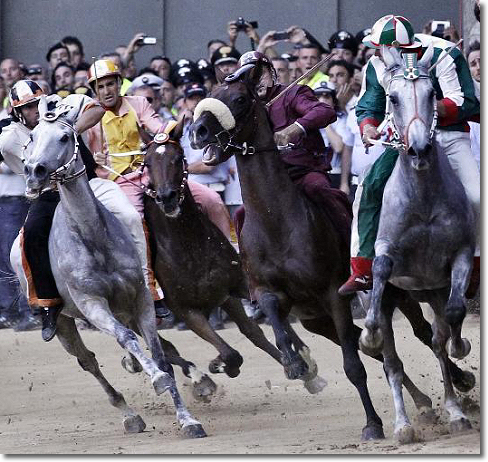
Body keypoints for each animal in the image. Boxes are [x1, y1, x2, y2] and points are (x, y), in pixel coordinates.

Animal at [189, 67, 474, 440]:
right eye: (211, 93)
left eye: (237, 98)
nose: (197, 131)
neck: (275, 220)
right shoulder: (269, 291)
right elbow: (274, 316)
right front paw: (295, 363)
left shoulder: (333, 294)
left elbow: (354, 366)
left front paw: (373, 424)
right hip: (317, 320)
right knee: (375, 347)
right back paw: (424, 402)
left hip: (393, 294)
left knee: (421, 334)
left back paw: (459, 382)